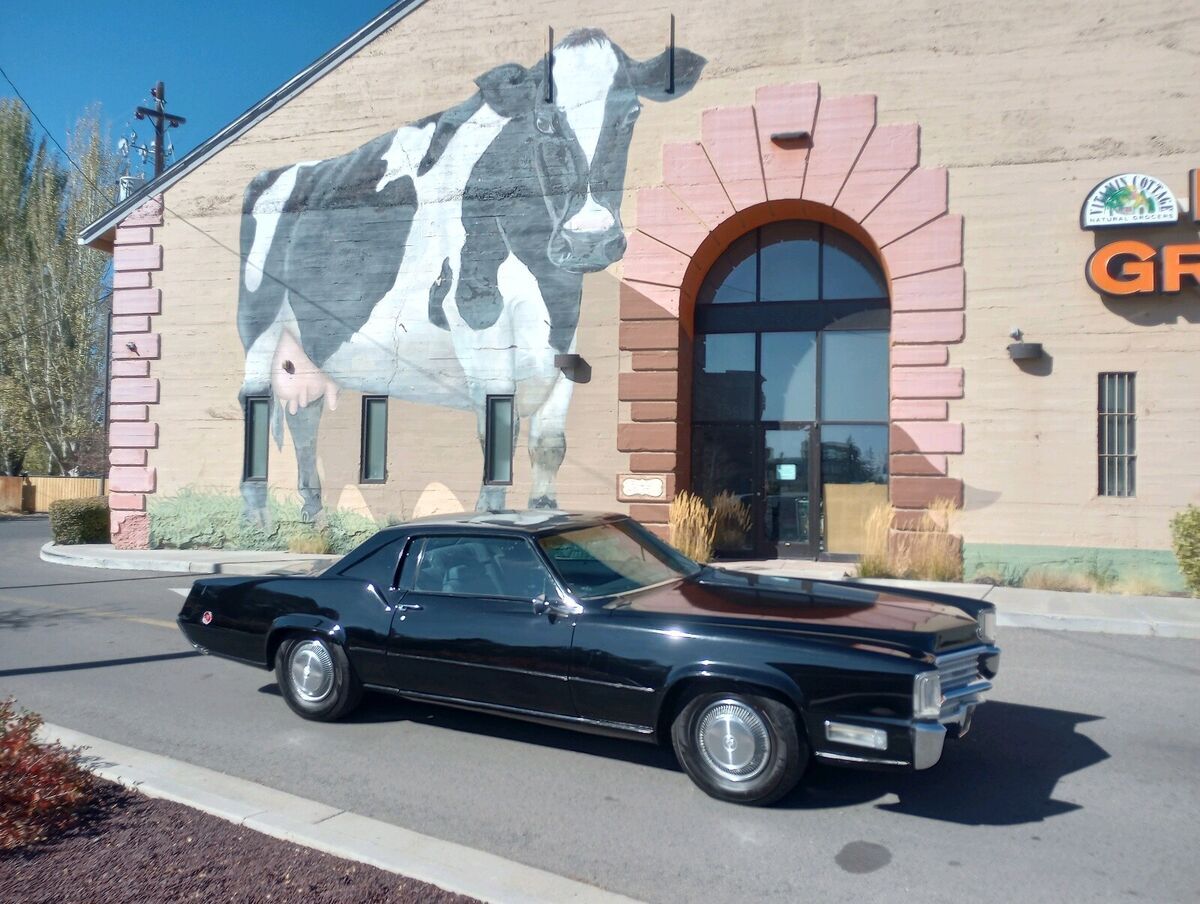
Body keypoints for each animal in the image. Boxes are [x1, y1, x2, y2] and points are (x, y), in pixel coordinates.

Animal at [236, 28, 700, 518]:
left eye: (631, 113)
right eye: (543, 121)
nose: (588, 239)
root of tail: (271, 173)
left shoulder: (564, 336)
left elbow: (549, 442)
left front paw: (546, 509)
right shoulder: (478, 320)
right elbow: (498, 430)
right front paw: (490, 515)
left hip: (304, 348)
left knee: (304, 414)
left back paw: (314, 515)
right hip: (259, 325)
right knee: (256, 400)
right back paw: (256, 516)